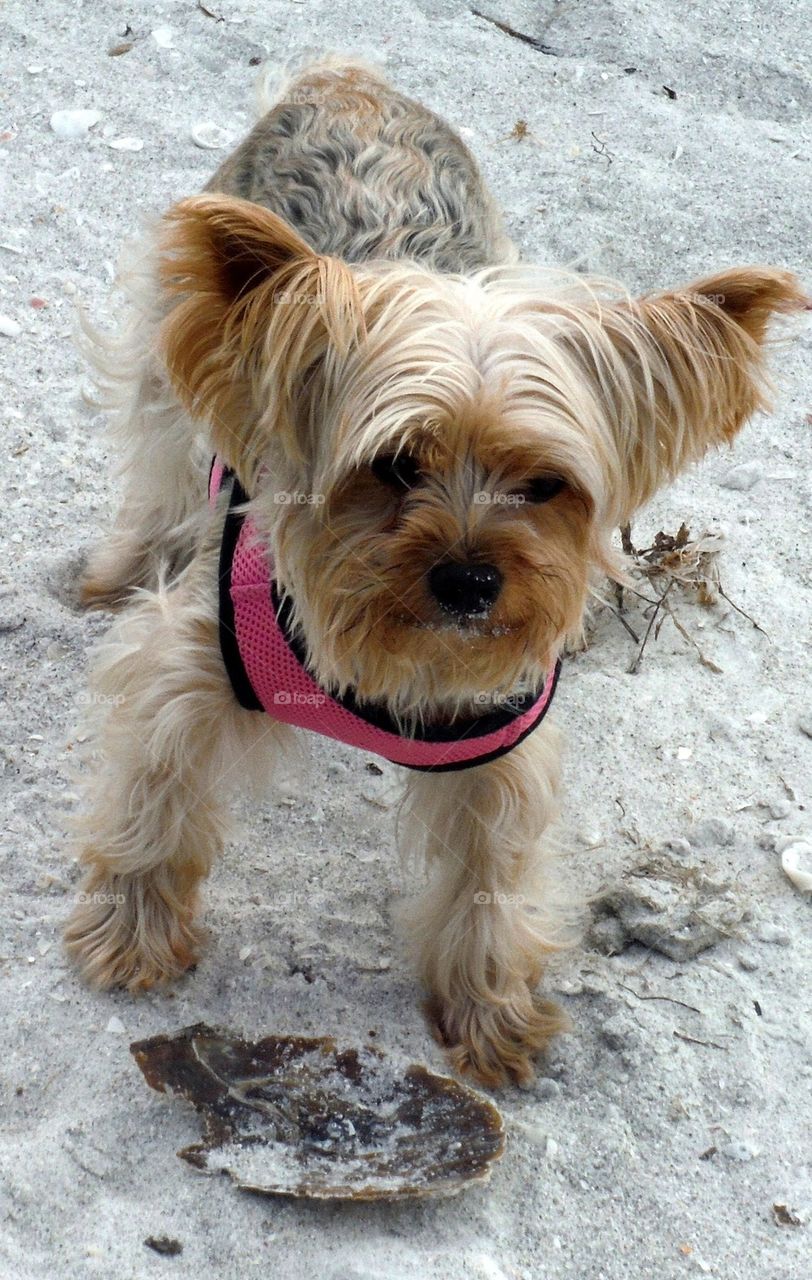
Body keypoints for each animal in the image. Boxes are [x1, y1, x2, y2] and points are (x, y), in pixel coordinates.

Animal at [64, 57, 804, 1080]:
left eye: (545, 485)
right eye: (394, 466)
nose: (469, 582)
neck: (397, 655)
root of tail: (347, 78)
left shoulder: (499, 742)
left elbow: (491, 877)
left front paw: (490, 1007)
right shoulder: (193, 663)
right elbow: (153, 794)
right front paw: (131, 931)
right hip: (180, 341)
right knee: (158, 450)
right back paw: (122, 563)